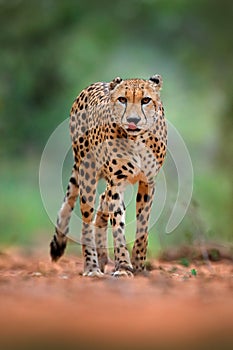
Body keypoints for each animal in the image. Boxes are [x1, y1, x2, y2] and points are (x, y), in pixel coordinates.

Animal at [50, 74, 167, 276]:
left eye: (146, 100)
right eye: (122, 99)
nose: (133, 119)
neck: (137, 140)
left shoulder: (148, 182)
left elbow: (143, 225)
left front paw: (139, 266)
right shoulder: (117, 182)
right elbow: (118, 225)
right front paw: (123, 266)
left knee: (102, 199)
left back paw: (103, 257)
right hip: (87, 173)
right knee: (87, 219)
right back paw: (92, 266)